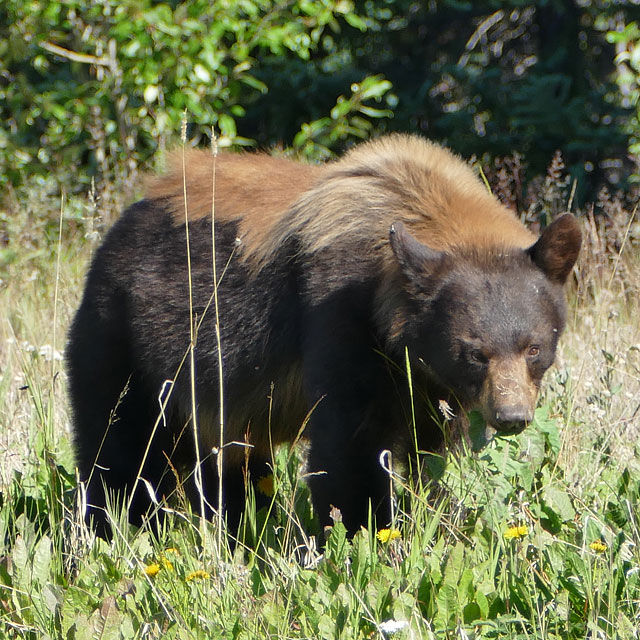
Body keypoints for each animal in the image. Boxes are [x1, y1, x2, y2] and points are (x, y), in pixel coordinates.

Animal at [66, 134, 580, 536]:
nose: (512, 416)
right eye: (474, 352)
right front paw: (363, 534)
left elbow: (430, 456)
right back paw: (111, 528)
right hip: (124, 336)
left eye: (533, 348)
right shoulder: (338, 317)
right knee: (119, 448)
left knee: (229, 467)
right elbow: (347, 450)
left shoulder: (427, 384)